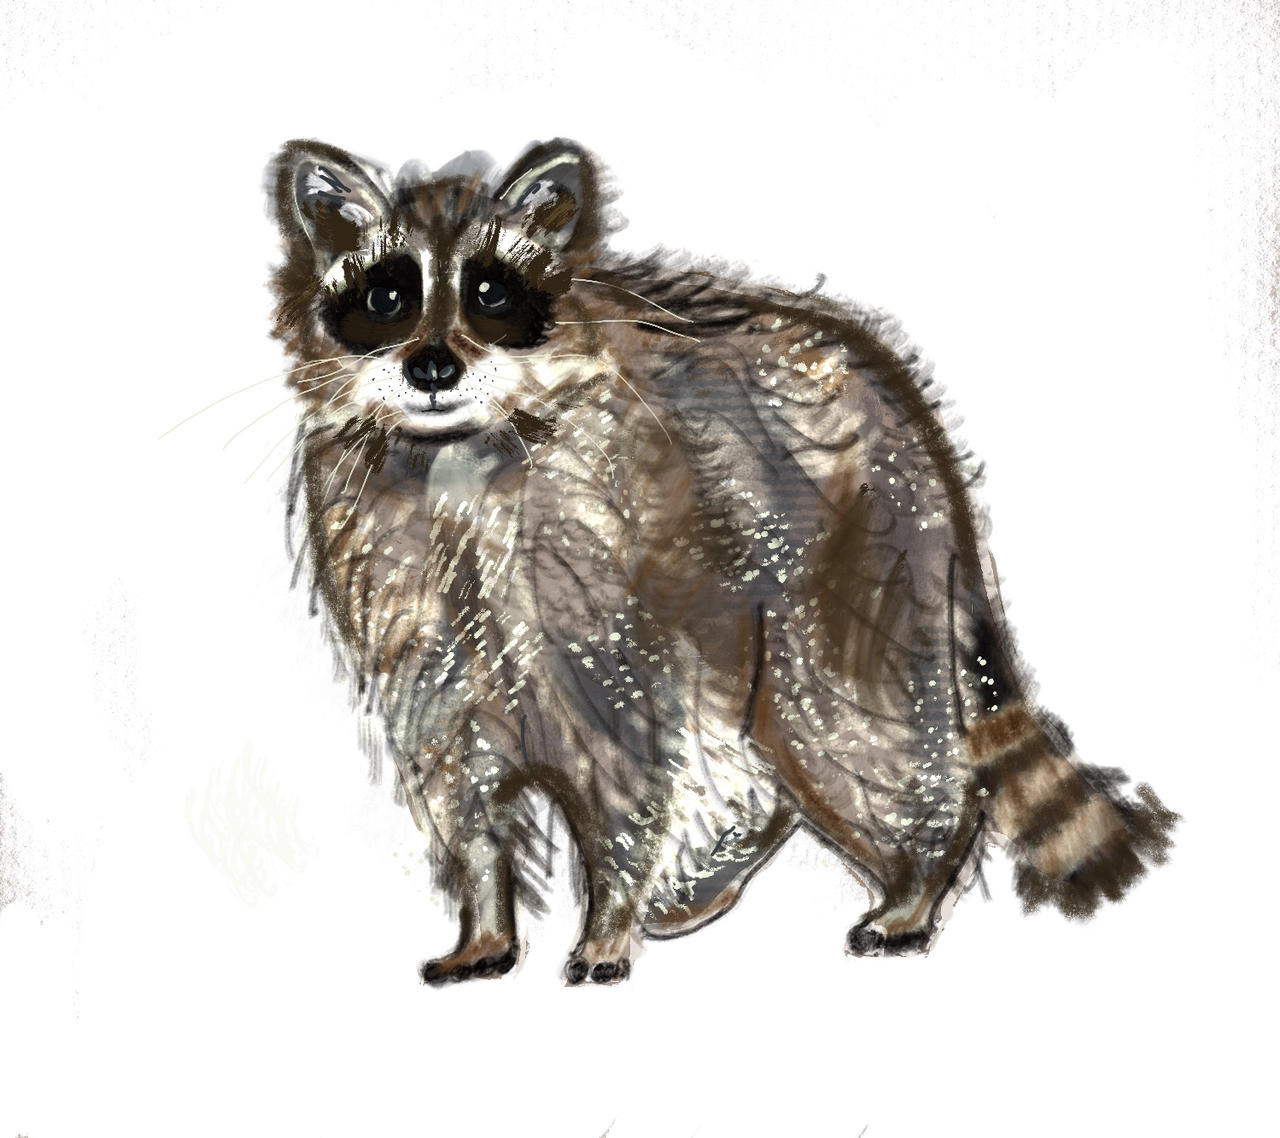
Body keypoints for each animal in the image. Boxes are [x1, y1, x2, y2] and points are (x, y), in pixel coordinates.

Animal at [265, 138, 1176, 985]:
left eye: (491, 295)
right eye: (386, 297)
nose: (432, 366)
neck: (454, 454)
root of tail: (911, 414)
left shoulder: (601, 577)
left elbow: (626, 768)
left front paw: (608, 918)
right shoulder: (408, 606)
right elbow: (458, 781)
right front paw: (486, 917)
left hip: (852, 565)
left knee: (855, 730)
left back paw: (921, 876)